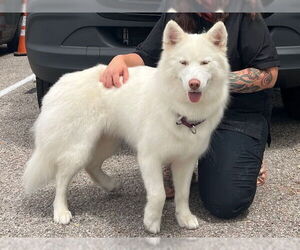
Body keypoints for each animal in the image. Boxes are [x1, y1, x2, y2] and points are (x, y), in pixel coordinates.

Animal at [24, 20, 230, 233]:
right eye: (183, 63)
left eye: (205, 63)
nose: (194, 84)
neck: (180, 110)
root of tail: (59, 84)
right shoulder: (149, 157)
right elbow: (158, 194)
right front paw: (151, 222)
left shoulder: (185, 161)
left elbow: (183, 194)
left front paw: (184, 217)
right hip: (78, 148)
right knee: (61, 178)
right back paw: (60, 211)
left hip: (107, 142)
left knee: (91, 165)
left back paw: (109, 185)